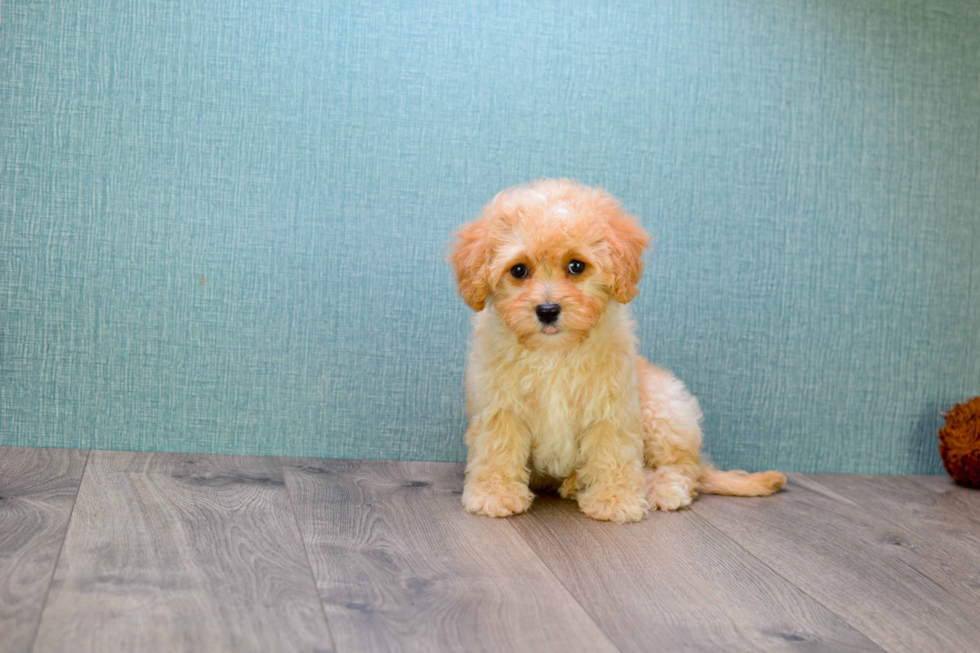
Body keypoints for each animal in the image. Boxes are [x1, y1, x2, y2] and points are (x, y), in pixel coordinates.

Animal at [454, 180, 788, 524]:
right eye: (518, 270)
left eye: (576, 266)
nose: (547, 310)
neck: (555, 354)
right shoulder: (500, 406)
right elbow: (498, 450)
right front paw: (495, 495)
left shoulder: (611, 405)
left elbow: (612, 450)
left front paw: (614, 500)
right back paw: (574, 483)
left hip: (663, 406)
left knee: (683, 470)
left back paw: (659, 489)